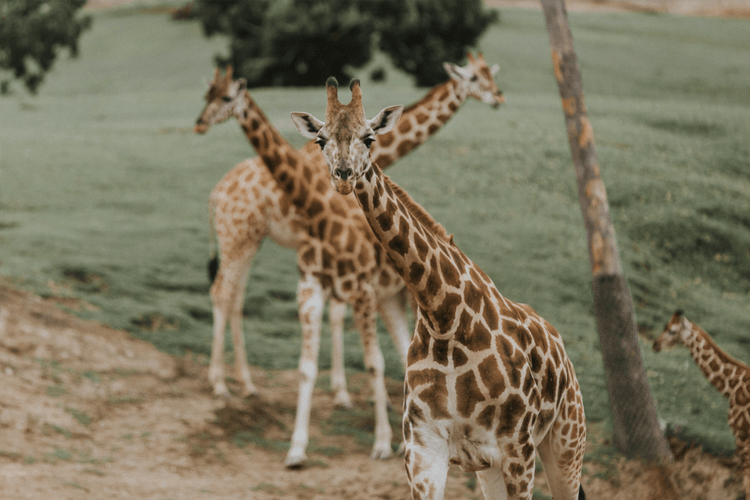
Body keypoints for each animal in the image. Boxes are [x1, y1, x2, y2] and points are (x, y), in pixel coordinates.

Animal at [194, 58, 504, 402]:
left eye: (489, 76)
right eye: (474, 78)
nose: (498, 97)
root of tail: (214, 197)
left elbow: (336, 313)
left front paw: (340, 390)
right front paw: (343, 392)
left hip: (248, 240)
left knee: (234, 297)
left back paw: (245, 382)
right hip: (237, 238)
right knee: (222, 292)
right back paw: (220, 383)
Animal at [290, 79, 587, 499]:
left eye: (369, 137)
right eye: (321, 139)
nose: (344, 175)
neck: (441, 315)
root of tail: (563, 351)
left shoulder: (518, 450)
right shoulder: (424, 450)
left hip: (565, 442)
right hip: (491, 470)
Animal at [653, 310, 750, 498]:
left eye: (672, 330)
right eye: (665, 326)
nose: (655, 345)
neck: (731, 388)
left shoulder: (741, 433)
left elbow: (746, 479)